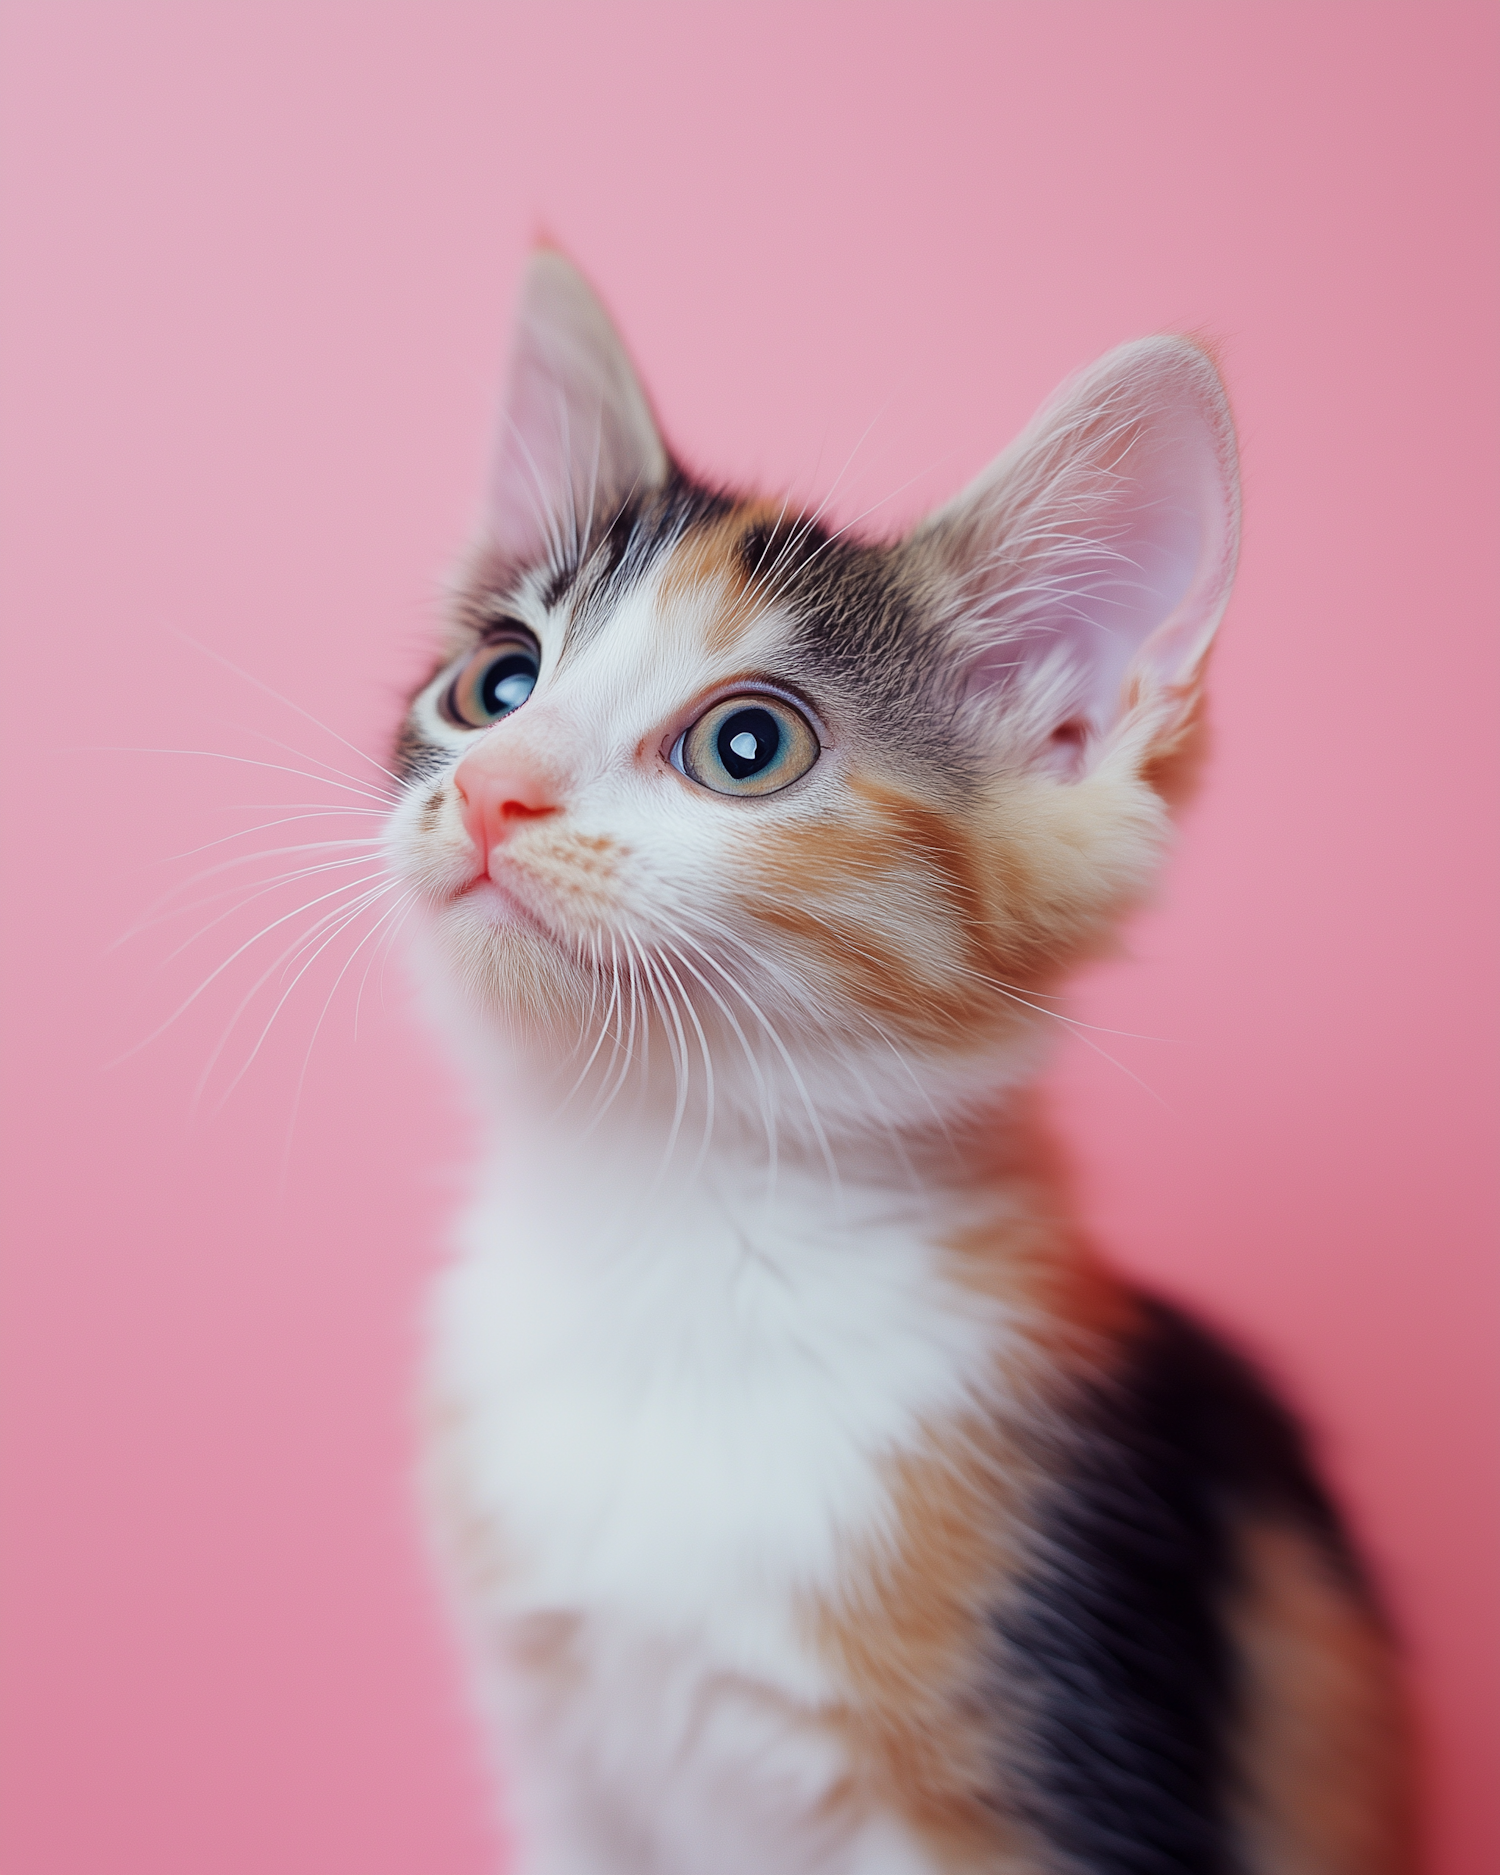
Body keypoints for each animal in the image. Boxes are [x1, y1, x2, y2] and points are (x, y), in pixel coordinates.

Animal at [380, 253, 1410, 1875]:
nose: (490, 786)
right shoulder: (563, 1765)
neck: (662, 1219)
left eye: (747, 747)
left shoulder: (1071, 1731)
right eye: (496, 682)